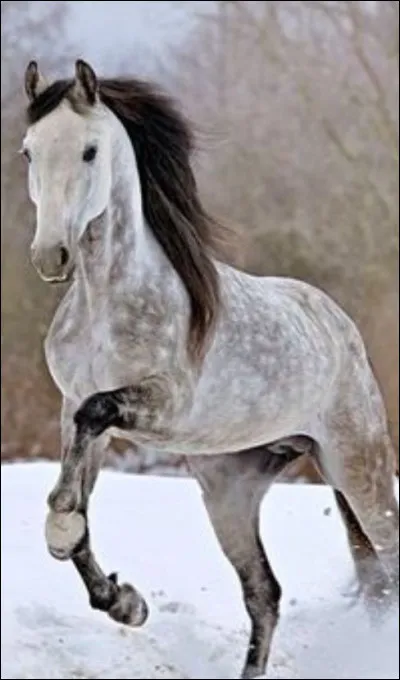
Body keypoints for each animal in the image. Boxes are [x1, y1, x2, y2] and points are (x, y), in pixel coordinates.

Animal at [20, 59, 398, 679]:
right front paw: (125, 603)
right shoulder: (72, 411)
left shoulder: (163, 403)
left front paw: (66, 537)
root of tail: (341, 329)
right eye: (29, 151)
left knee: (382, 563)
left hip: (358, 471)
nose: (51, 256)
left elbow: (91, 429)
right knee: (264, 593)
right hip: (230, 491)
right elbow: (75, 502)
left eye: (90, 151)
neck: (107, 301)